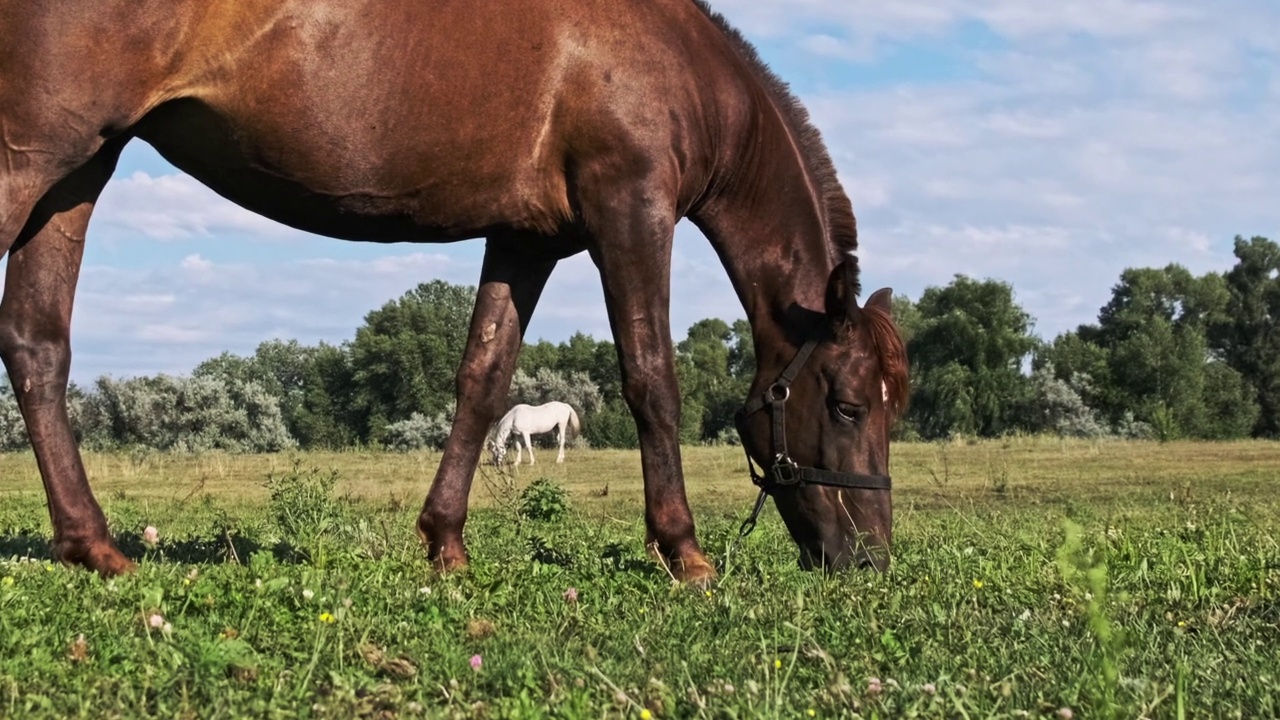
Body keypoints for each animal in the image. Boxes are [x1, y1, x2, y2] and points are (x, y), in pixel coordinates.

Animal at [0, 0, 911, 579]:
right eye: (846, 406)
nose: (870, 558)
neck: (677, 65)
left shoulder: (526, 240)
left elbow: (482, 378)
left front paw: (445, 542)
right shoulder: (631, 213)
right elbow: (653, 378)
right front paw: (683, 551)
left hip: (78, 170)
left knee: (35, 344)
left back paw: (92, 547)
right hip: (35, 159)